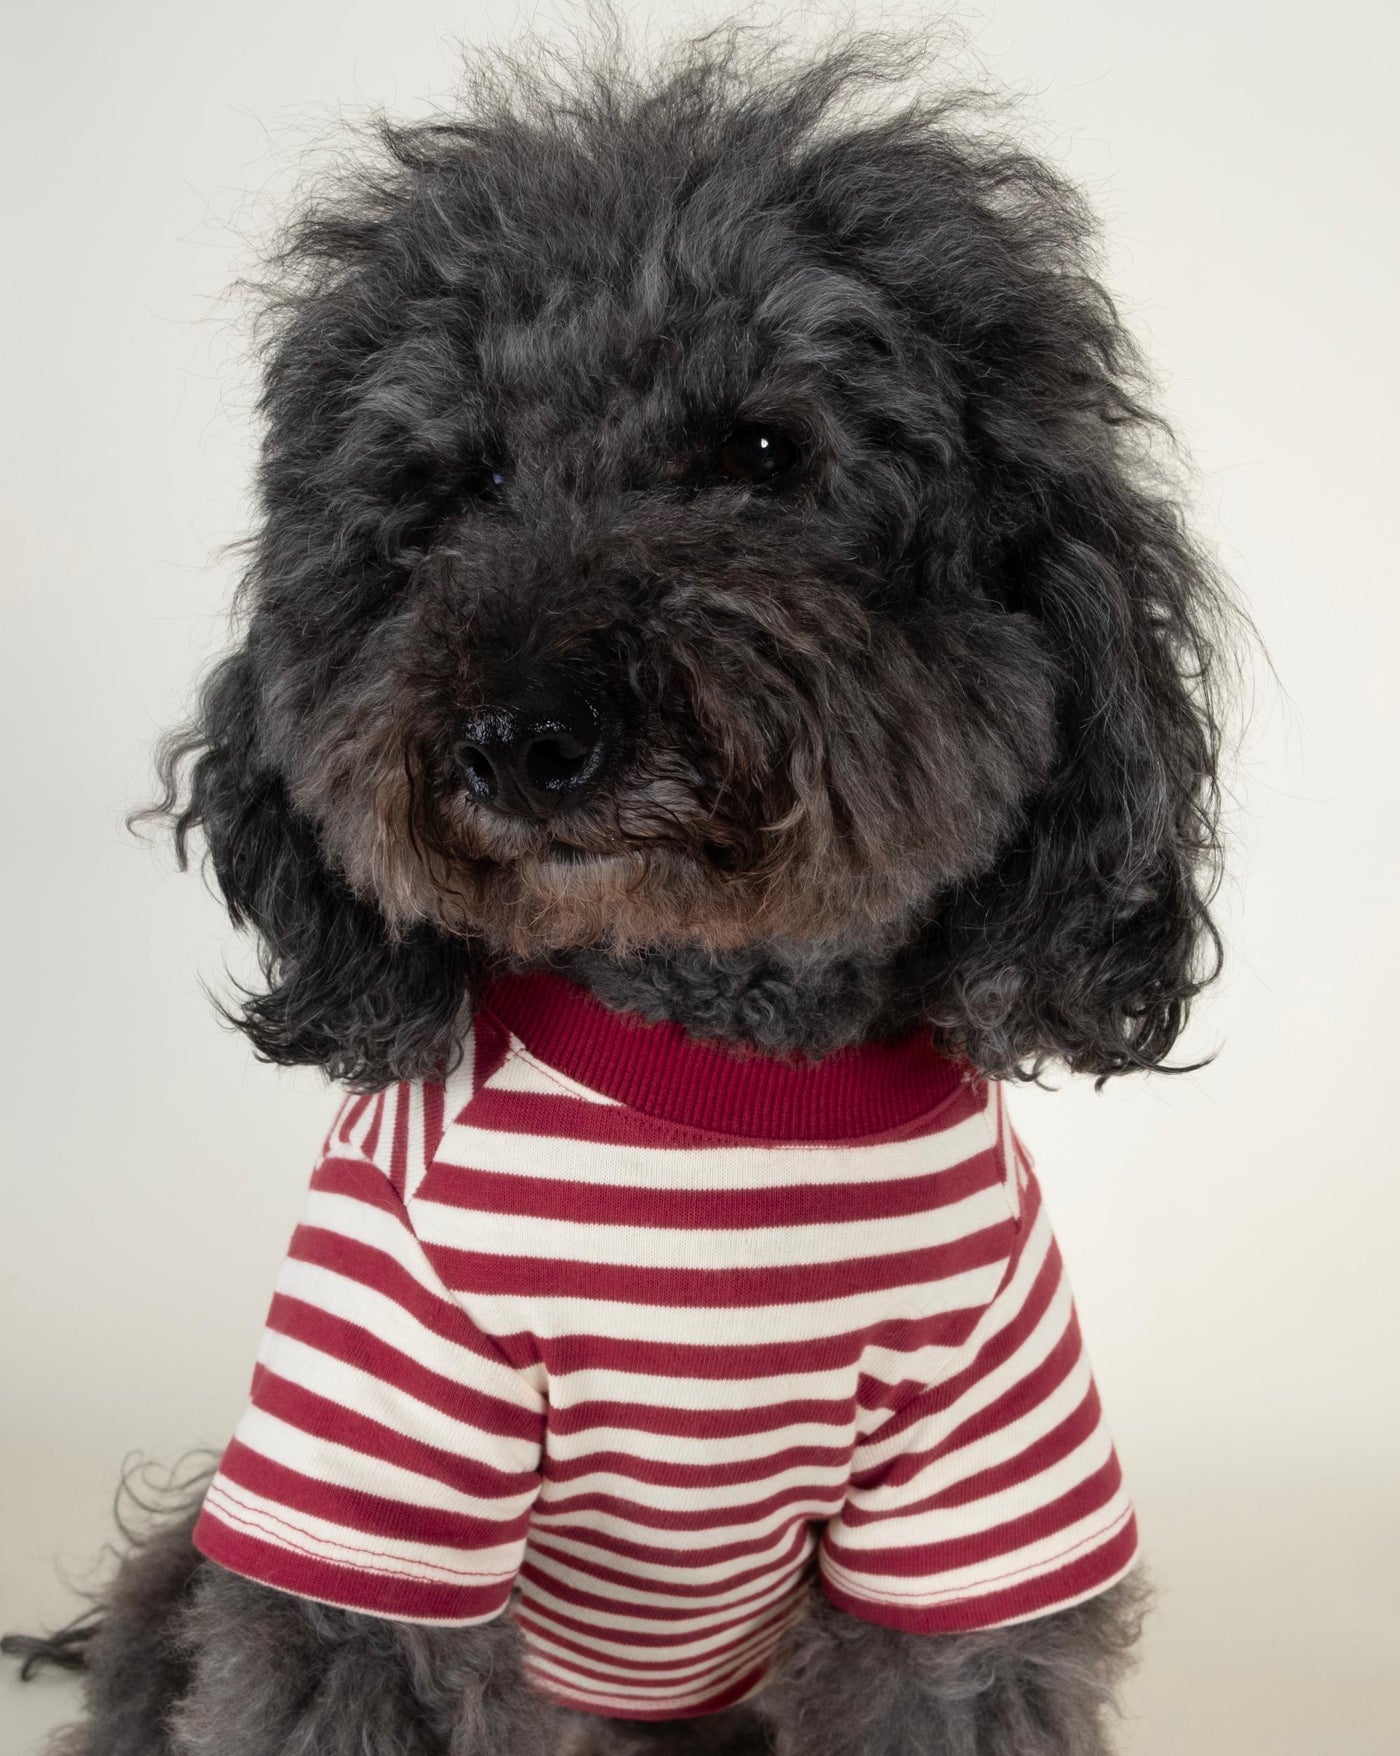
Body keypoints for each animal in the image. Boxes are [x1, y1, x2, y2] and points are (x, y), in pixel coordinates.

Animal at [16, 17, 1229, 1756]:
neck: (714, 1079)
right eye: (462, 482)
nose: (526, 736)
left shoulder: (971, 1490)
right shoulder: (368, 1464)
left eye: (765, 452)